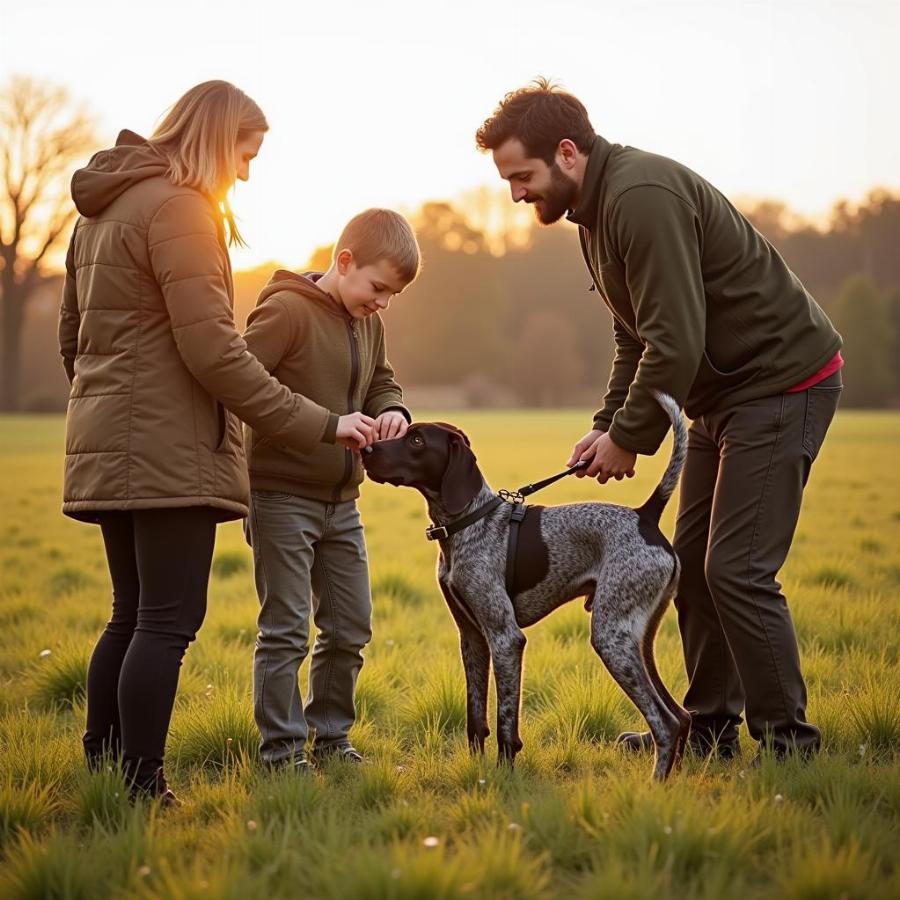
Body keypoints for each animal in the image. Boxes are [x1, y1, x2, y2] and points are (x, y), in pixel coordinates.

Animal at [362, 394, 692, 780]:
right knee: (681, 716)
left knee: (665, 723)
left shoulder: (505, 638)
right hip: (639, 638)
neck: (468, 521)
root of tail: (645, 516)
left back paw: (655, 784)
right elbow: (476, 718)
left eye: (416, 440)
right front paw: (477, 772)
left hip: (612, 637)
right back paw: (673, 782)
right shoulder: (472, 638)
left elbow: (506, 721)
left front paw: (504, 776)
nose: (366, 448)